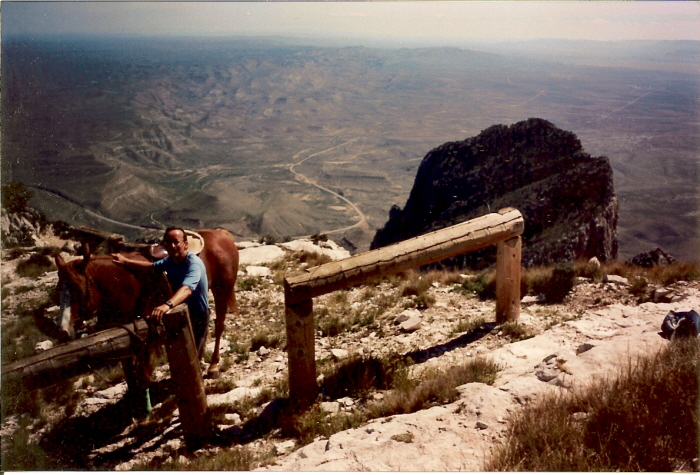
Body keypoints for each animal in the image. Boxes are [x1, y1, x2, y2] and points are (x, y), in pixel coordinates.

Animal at [55, 229, 241, 378]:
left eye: (78, 290)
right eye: (58, 291)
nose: (63, 331)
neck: (122, 282)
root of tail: (222, 234)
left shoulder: (143, 326)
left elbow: (143, 359)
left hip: (222, 290)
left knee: (219, 324)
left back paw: (213, 365)